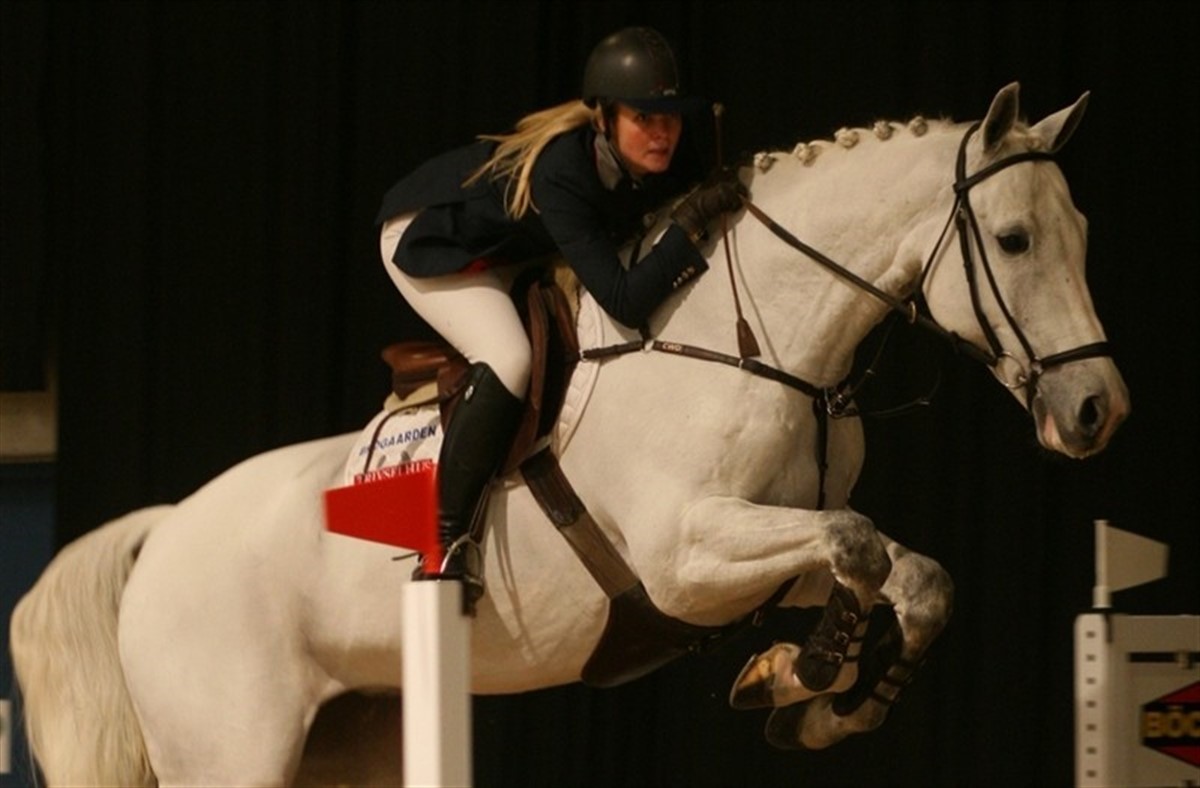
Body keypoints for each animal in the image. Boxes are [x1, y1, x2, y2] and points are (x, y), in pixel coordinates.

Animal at [9, 82, 1129, 785]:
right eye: (1015, 240)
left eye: (1082, 234)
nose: (1097, 411)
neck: (757, 341)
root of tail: (164, 528)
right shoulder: (687, 558)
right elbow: (857, 545)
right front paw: (805, 678)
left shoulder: (769, 551)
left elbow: (907, 572)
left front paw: (813, 695)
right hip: (229, 749)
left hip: (352, 734)